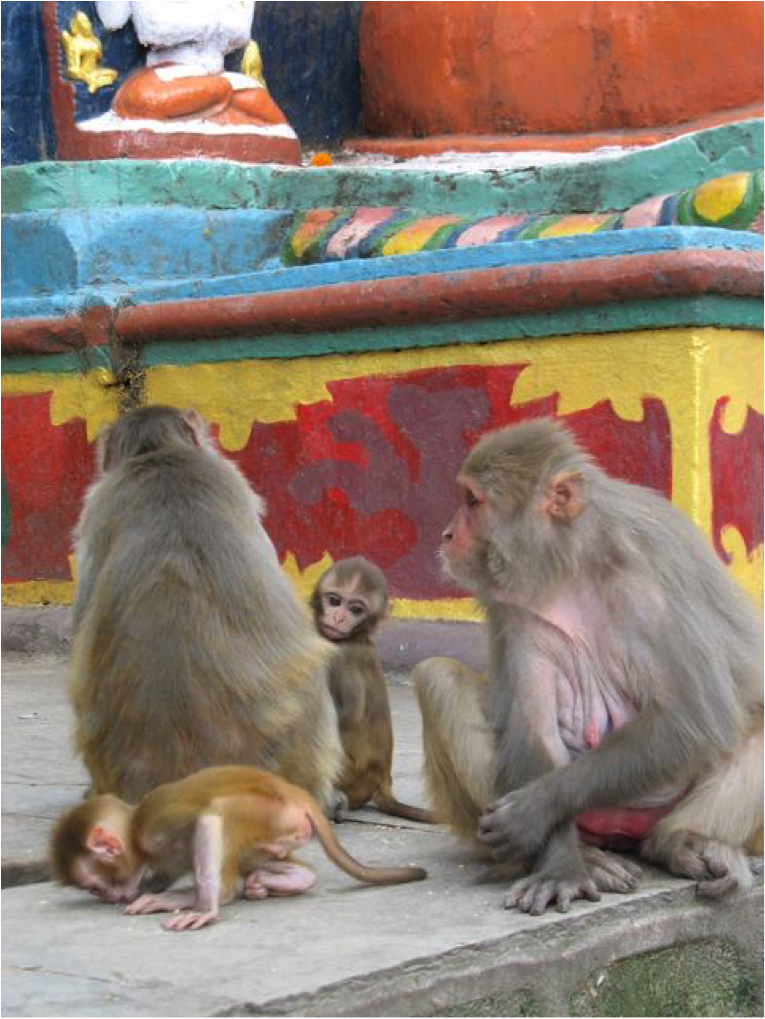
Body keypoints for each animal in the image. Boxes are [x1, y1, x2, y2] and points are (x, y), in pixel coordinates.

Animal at [51, 765, 427, 931]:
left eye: (95, 887)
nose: (107, 898)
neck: (134, 831)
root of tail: (292, 791)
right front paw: (158, 892)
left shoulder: (155, 827)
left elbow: (206, 821)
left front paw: (205, 906)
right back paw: (280, 880)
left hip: (266, 813)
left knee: (222, 812)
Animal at [310, 557, 435, 824]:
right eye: (334, 601)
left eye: (356, 609)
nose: (338, 618)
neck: (357, 637)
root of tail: (381, 780)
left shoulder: (342, 656)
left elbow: (345, 714)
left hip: (350, 777)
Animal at [414, 417, 762, 915]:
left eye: (472, 502)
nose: (446, 534)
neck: (572, 556)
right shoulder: (512, 603)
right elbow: (534, 727)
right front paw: (560, 866)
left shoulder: (653, 576)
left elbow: (691, 716)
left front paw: (535, 809)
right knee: (437, 677)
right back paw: (583, 857)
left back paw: (680, 841)